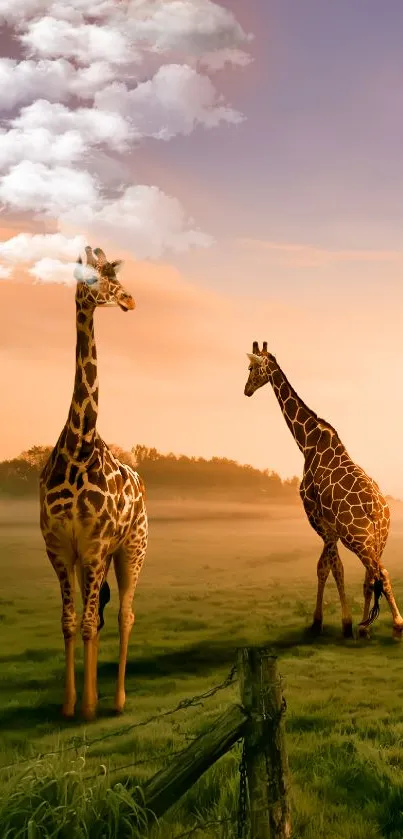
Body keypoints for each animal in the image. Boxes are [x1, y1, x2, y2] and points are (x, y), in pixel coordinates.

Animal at [243, 342, 403, 644]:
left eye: (250, 368)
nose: (246, 390)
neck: (307, 442)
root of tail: (378, 511)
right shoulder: (329, 526)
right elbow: (327, 566)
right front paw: (341, 623)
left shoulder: (317, 517)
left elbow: (330, 567)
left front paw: (337, 623)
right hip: (380, 537)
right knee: (371, 575)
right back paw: (366, 627)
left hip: (358, 537)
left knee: (381, 572)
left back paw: (395, 626)